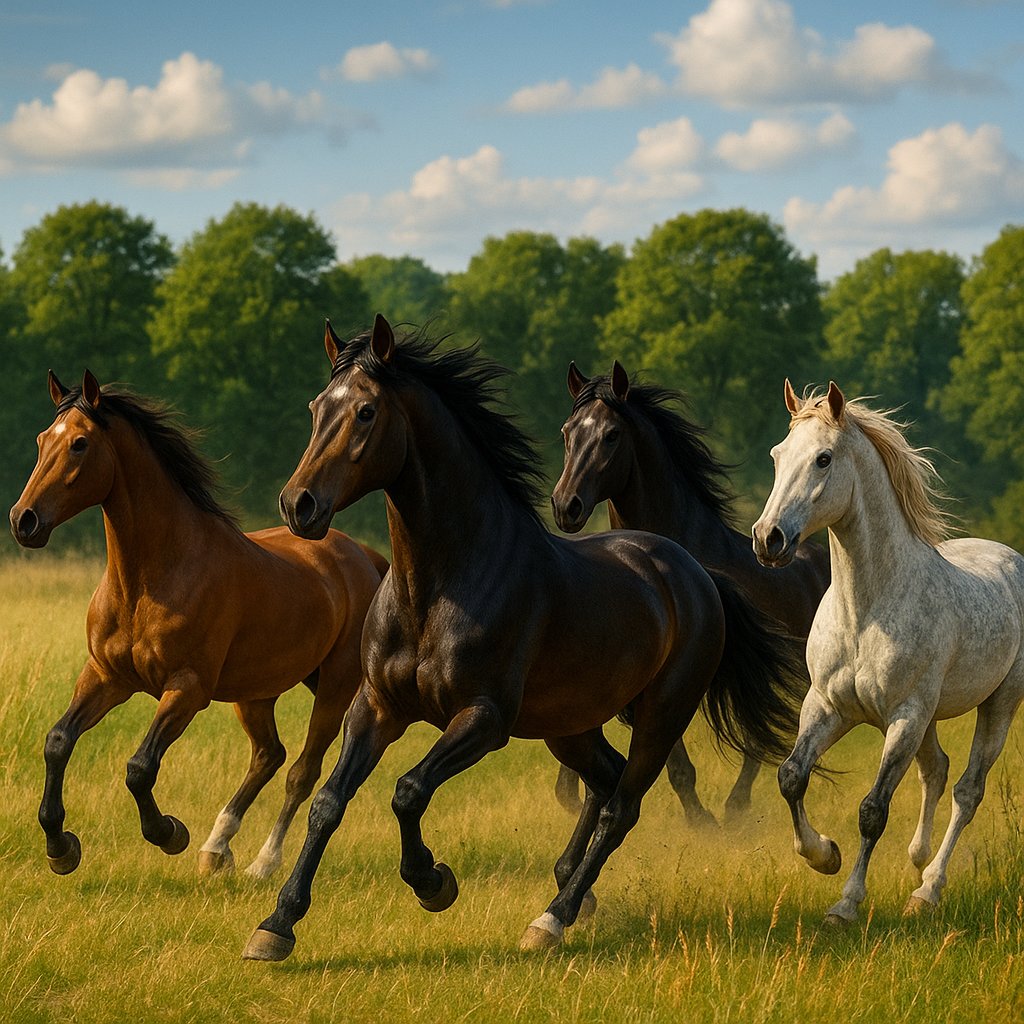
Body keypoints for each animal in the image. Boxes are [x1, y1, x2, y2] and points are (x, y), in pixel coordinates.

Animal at [9, 370, 387, 880]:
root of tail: (363, 556)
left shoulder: (187, 688)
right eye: (42, 439)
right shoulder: (106, 677)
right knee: (269, 755)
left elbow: (140, 767)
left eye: (80, 444)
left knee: (301, 771)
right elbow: (57, 741)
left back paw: (263, 863)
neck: (150, 580)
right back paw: (216, 848)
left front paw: (168, 832)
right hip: (257, 691)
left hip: (335, 688)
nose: (23, 520)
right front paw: (60, 847)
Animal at [551, 361, 830, 826]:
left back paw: (735, 806)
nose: (565, 506)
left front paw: (701, 819)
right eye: (567, 432)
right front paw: (569, 792)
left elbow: (676, 762)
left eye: (611, 435)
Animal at [752, 380, 1024, 923]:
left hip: (997, 704)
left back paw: (928, 888)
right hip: (930, 719)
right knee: (937, 771)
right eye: (777, 455)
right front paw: (824, 856)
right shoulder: (828, 706)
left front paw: (845, 904)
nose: (767, 539)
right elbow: (791, 777)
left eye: (824, 459)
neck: (866, 611)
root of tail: (1012, 559)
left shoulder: (903, 716)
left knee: (967, 789)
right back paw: (918, 858)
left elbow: (872, 811)